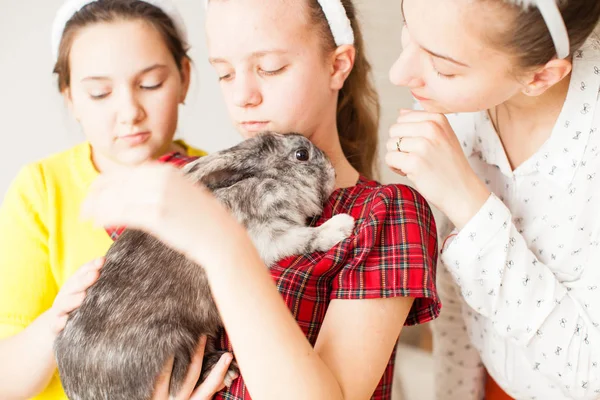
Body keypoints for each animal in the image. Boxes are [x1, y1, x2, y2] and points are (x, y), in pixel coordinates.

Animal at [54, 133, 354, 398]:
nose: (333, 171)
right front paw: (341, 225)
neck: (267, 179)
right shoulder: (268, 236)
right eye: (301, 154)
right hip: (177, 341)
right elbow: (305, 238)